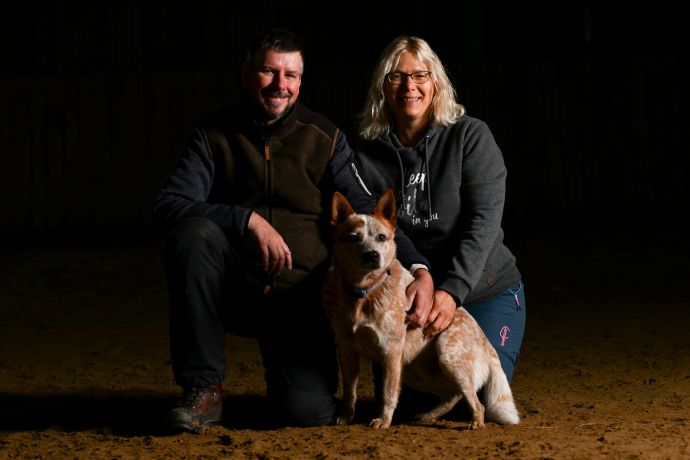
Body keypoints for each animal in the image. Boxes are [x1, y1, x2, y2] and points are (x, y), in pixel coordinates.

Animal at [323, 189, 520, 429]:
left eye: (381, 237)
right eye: (354, 237)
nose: (372, 255)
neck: (364, 292)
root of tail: (488, 345)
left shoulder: (390, 351)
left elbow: (388, 393)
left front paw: (383, 421)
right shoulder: (346, 349)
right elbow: (349, 391)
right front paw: (345, 417)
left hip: (447, 356)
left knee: (475, 400)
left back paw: (475, 423)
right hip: (415, 371)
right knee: (453, 393)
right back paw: (428, 415)